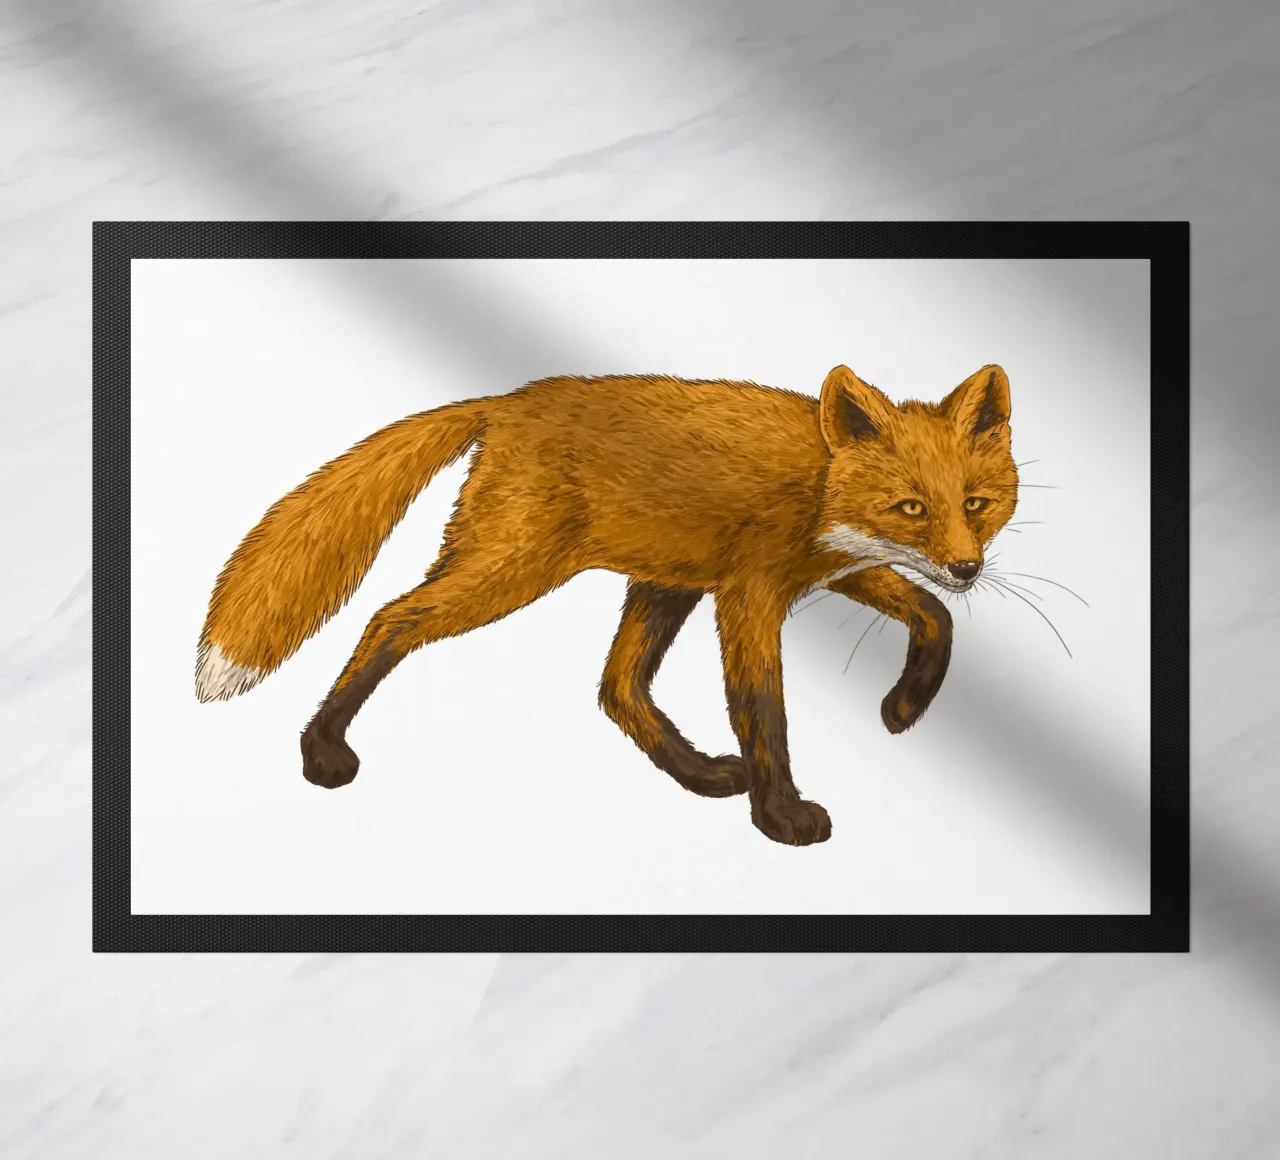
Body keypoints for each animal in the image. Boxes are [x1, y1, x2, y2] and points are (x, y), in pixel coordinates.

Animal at [196, 364, 1017, 846]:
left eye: (976, 504)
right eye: (912, 507)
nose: (967, 566)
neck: (818, 481)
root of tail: (503, 401)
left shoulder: (828, 568)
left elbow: (935, 616)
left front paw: (904, 707)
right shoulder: (750, 594)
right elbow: (763, 708)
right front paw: (782, 815)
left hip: (661, 582)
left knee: (617, 687)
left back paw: (701, 775)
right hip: (517, 569)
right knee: (390, 617)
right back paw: (321, 749)